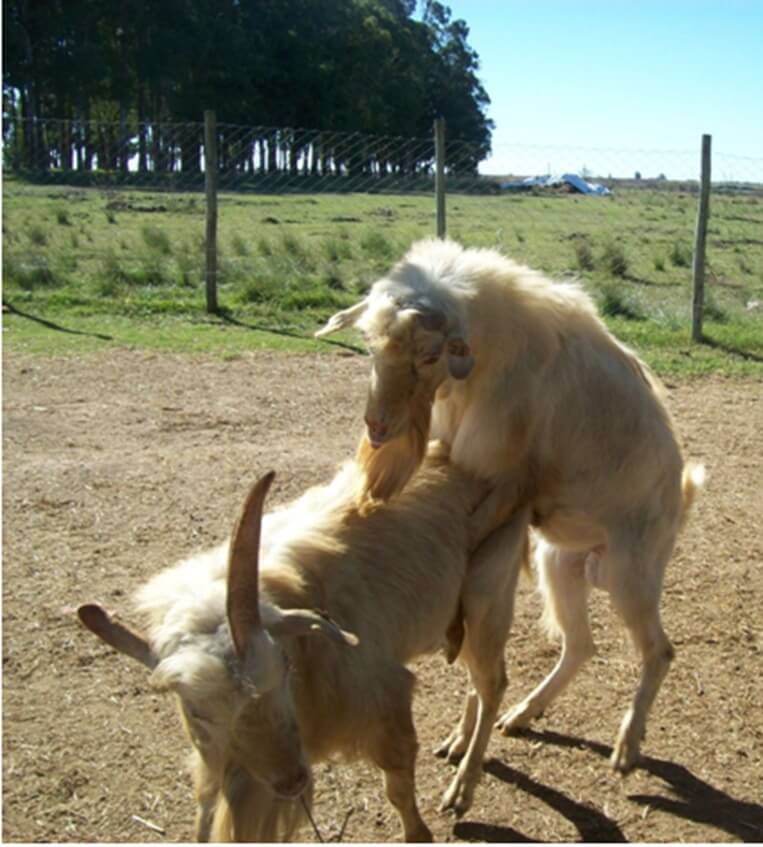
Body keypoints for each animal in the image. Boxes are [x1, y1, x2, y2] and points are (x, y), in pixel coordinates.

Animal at [77, 448, 532, 844]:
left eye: (283, 667)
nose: (292, 779)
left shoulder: (384, 701)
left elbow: (399, 787)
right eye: (197, 712)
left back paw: (462, 789)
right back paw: (457, 741)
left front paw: (420, 833)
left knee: (493, 683)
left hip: (487, 596)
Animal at [314, 238, 704, 776]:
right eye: (370, 345)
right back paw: (523, 714)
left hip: (633, 573)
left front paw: (464, 740)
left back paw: (626, 747)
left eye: (430, 354)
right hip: (559, 563)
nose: (378, 427)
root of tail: (679, 497)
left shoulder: (502, 486)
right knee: (580, 645)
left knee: (659, 651)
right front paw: (460, 739)